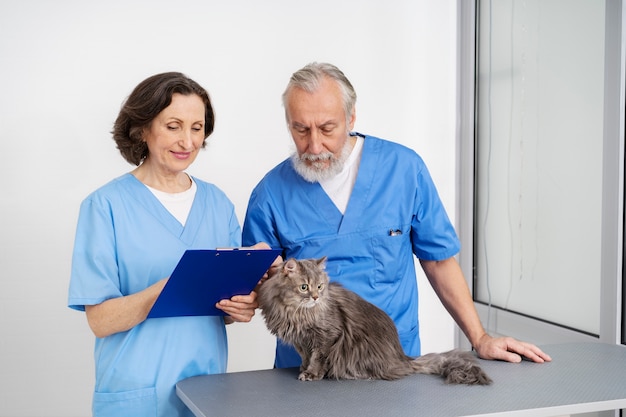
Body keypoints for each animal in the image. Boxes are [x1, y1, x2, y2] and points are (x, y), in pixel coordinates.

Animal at [256, 256, 490, 384]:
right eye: (304, 287)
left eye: (320, 286)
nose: (315, 297)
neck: (296, 313)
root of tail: (403, 358)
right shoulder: (301, 341)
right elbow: (306, 357)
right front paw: (303, 369)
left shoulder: (326, 336)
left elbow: (317, 358)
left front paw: (312, 374)